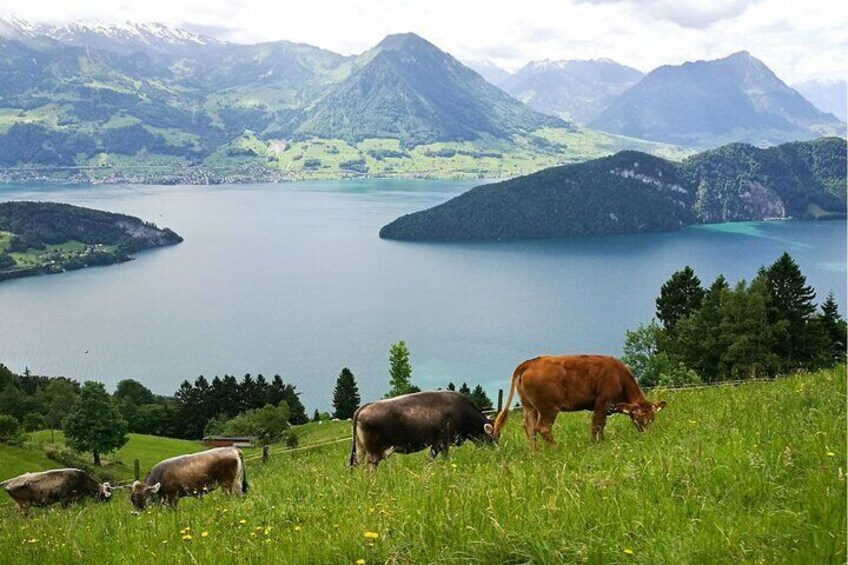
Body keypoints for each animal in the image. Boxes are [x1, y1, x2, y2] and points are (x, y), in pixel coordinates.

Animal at [352, 390, 496, 470]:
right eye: (493, 436)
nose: (496, 451)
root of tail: (363, 407)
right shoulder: (442, 442)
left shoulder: (437, 444)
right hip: (374, 454)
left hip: (360, 450)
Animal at [494, 356, 664, 446]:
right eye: (637, 418)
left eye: (652, 419)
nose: (646, 435)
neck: (619, 376)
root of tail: (530, 362)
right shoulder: (602, 402)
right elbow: (595, 424)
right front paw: (593, 444)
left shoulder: (606, 407)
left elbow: (602, 424)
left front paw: (602, 441)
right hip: (548, 408)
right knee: (542, 427)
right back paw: (556, 448)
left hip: (529, 406)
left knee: (529, 427)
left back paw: (535, 453)